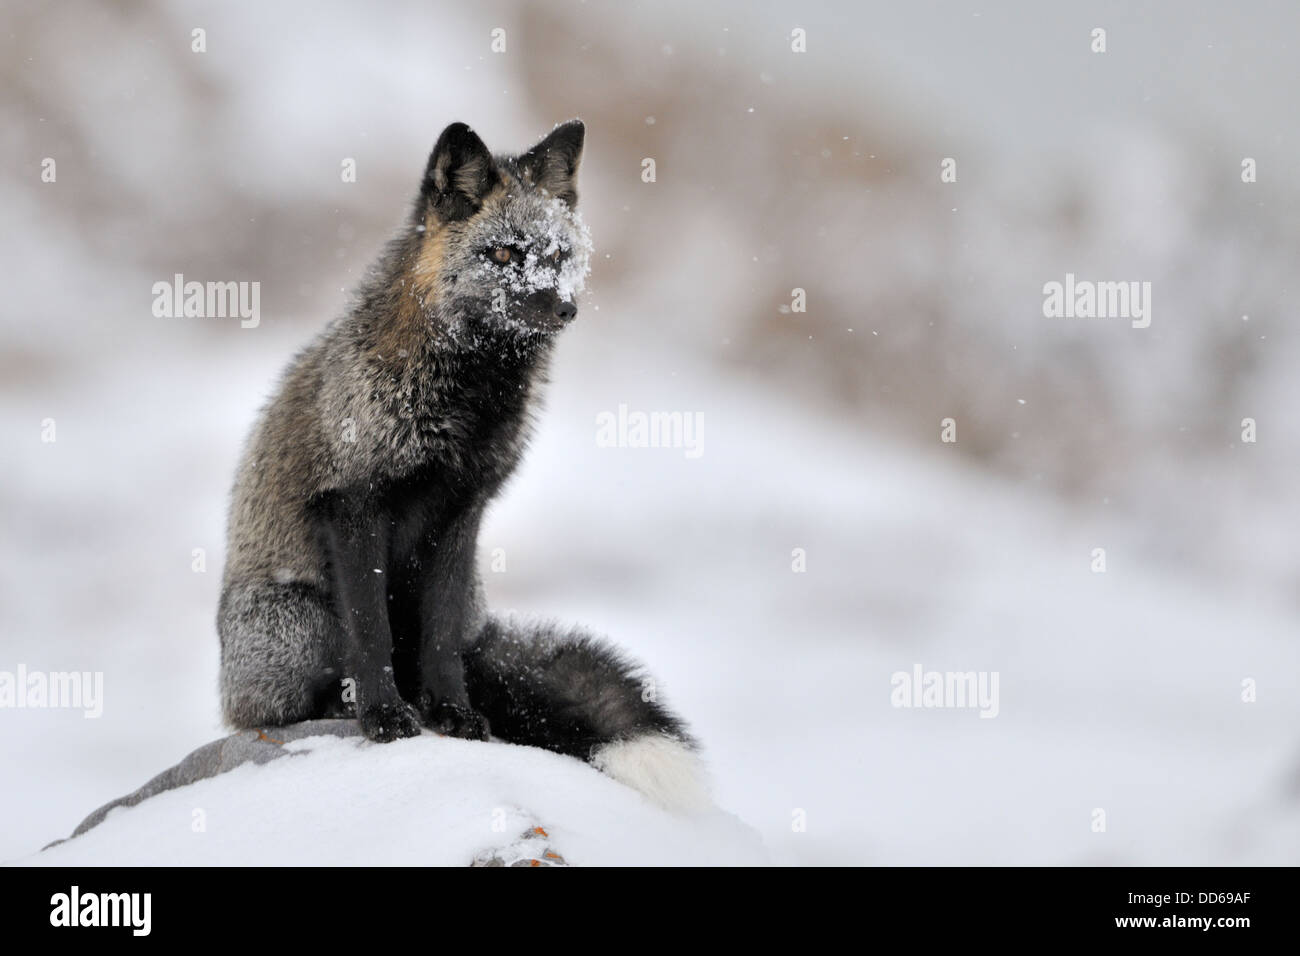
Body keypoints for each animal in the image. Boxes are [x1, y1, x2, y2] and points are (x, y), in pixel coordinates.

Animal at [220, 117, 712, 806]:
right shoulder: (355, 502)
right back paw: (342, 705)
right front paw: (383, 716)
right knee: (284, 705)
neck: (464, 404)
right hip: (297, 622)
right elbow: (369, 632)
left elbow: (443, 638)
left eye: (558, 256)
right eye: (502, 256)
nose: (565, 309)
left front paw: (452, 713)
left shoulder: (463, 509)